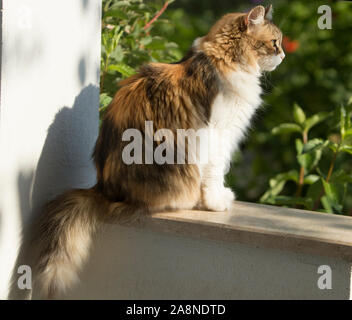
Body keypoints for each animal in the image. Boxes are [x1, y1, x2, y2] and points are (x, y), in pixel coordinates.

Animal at [30, 5, 284, 298]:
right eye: (274, 42)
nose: (283, 55)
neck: (222, 59)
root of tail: (103, 189)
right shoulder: (220, 135)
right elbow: (214, 175)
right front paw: (217, 202)